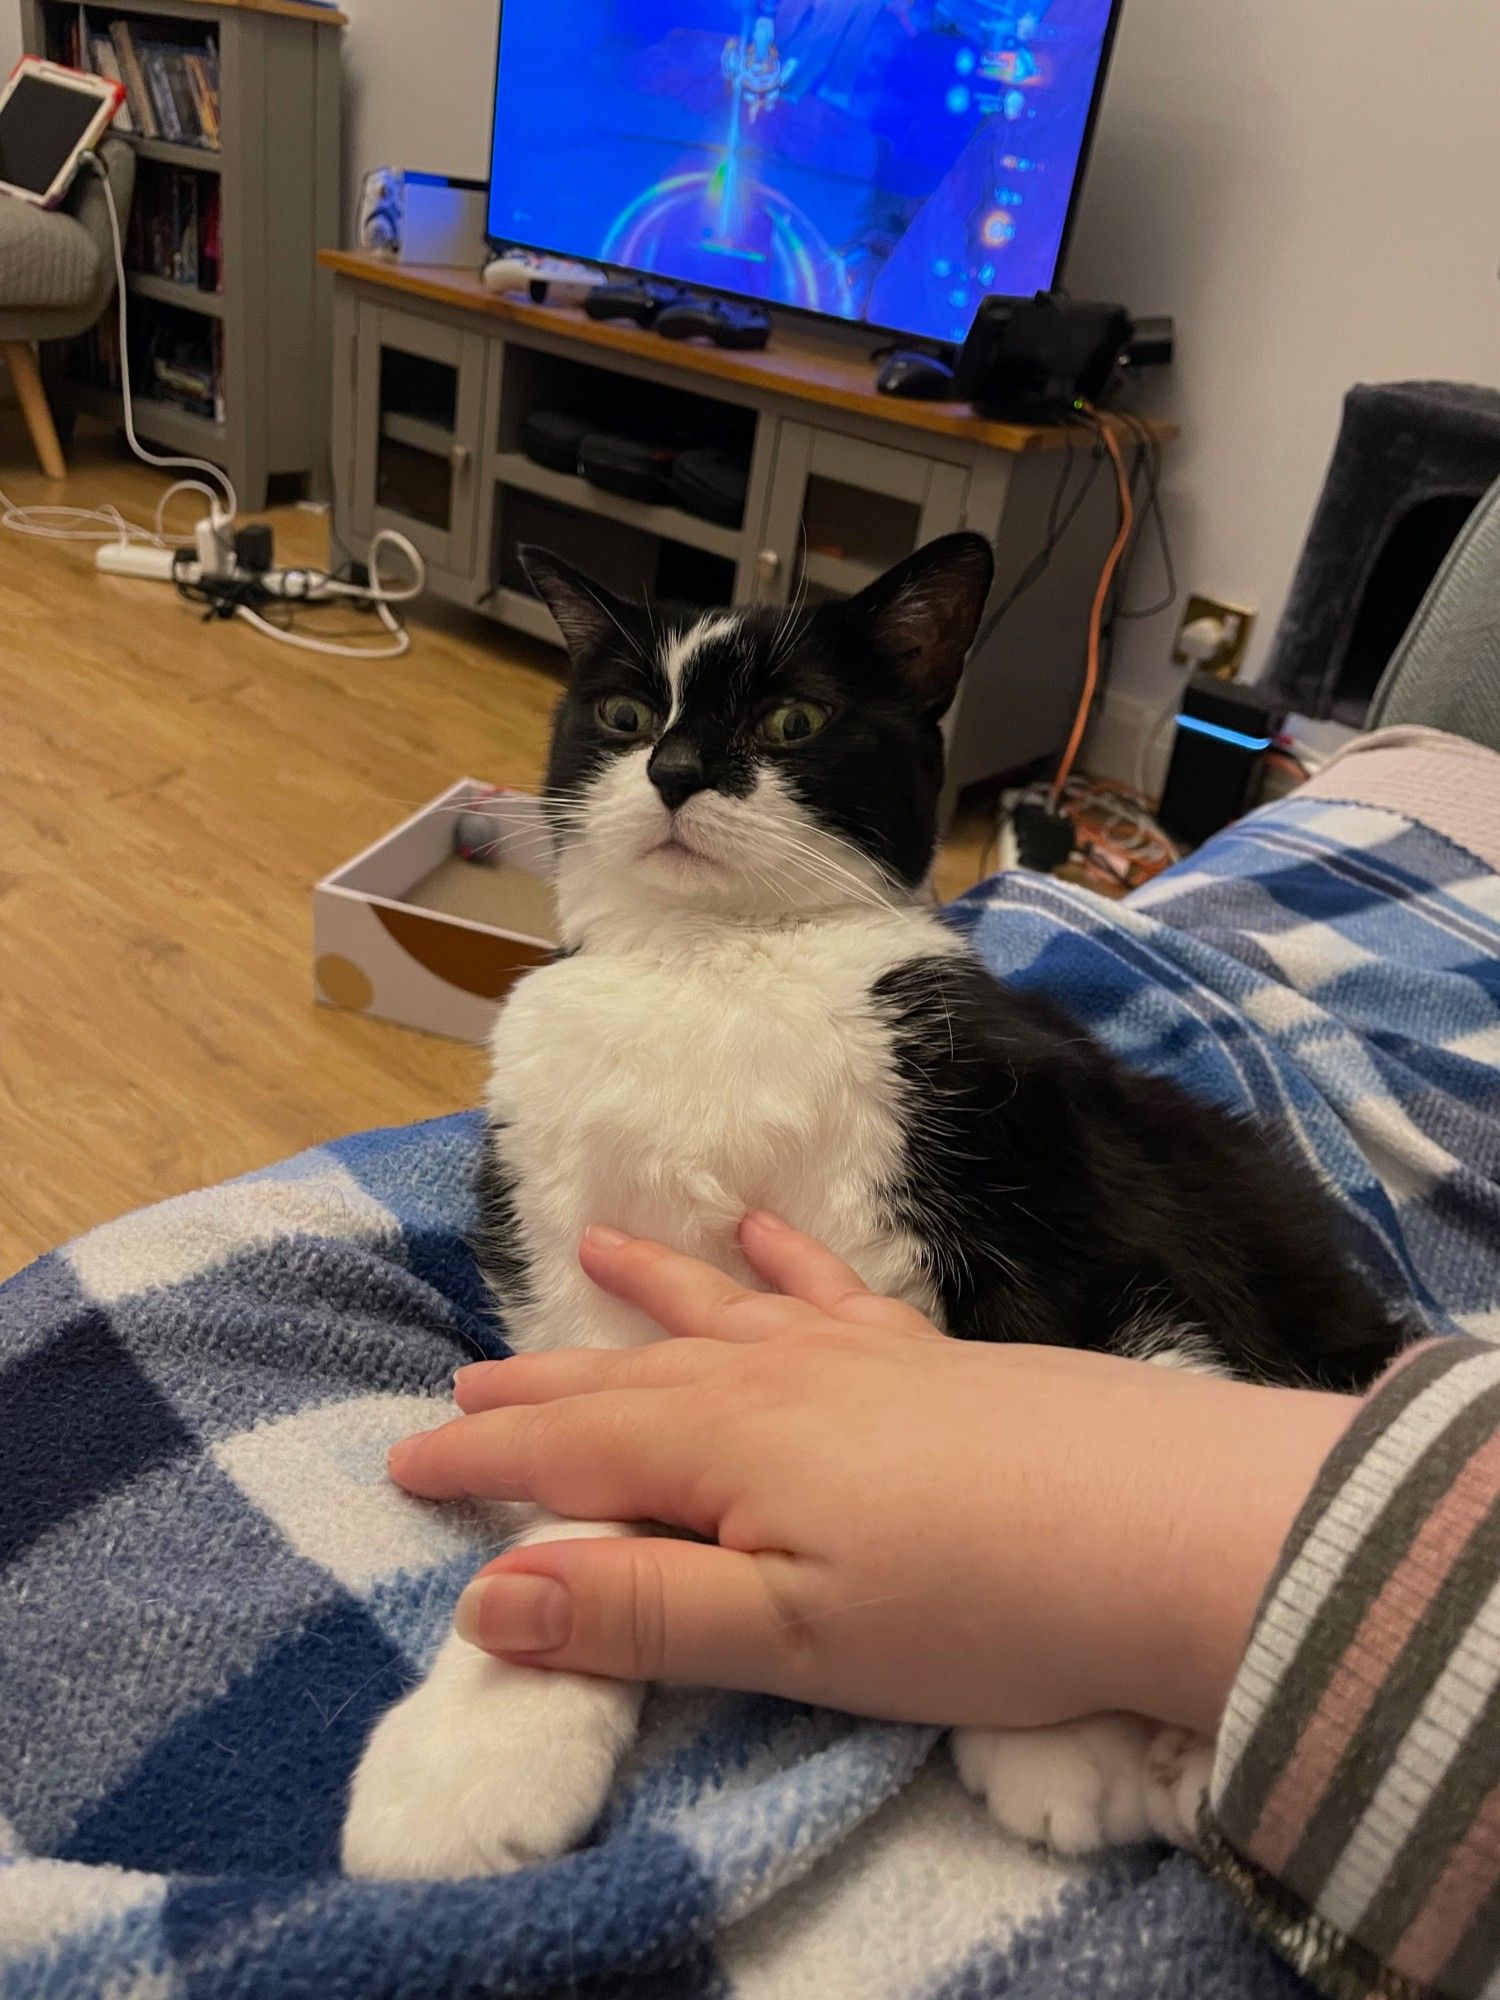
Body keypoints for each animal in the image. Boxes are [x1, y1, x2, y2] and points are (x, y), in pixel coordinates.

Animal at [344, 532, 1408, 1872]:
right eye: (627, 713)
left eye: (795, 719)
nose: (676, 770)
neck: (716, 964)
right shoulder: (566, 1226)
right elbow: (587, 1443)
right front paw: (485, 1738)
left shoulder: (1037, 1150)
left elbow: (1047, 1362)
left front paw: (1049, 1717)